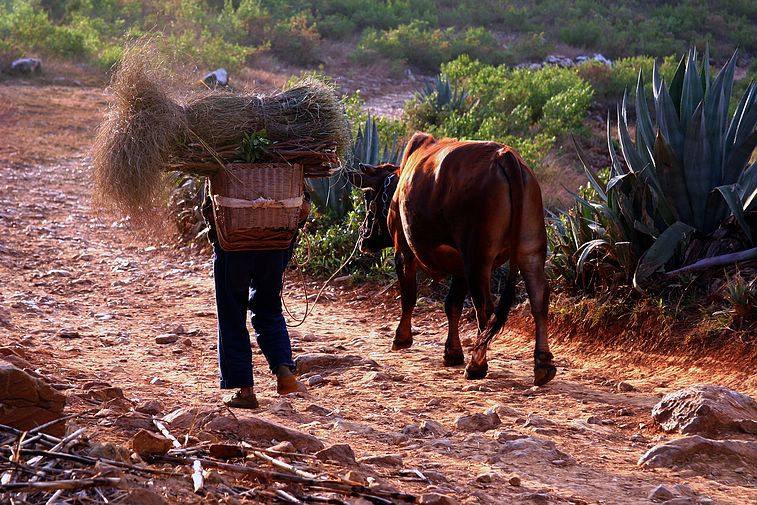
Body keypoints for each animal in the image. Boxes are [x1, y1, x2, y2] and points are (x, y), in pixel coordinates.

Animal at [348, 132, 556, 384]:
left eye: (368, 196)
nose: (363, 239)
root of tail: (504, 156)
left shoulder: (403, 252)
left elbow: (409, 297)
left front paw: (402, 338)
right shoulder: (459, 266)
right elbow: (452, 305)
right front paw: (453, 352)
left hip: (477, 257)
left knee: (485, 307)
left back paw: (477, 365)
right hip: (529, 250)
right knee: (538, 298)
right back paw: (543, 364)